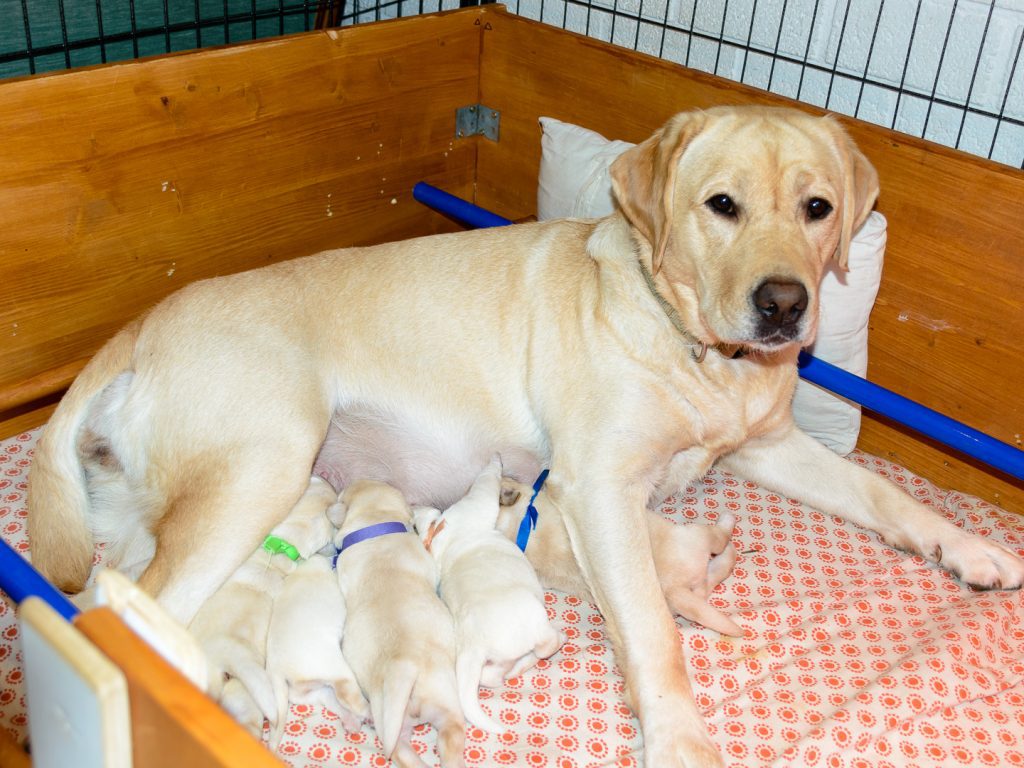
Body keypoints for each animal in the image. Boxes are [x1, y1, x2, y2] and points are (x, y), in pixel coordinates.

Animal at [333, 479, 466, 765]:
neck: (376, 520)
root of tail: (403, 665)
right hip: (439, 696)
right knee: (450, 737)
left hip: (397, 713)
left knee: (406, 749)